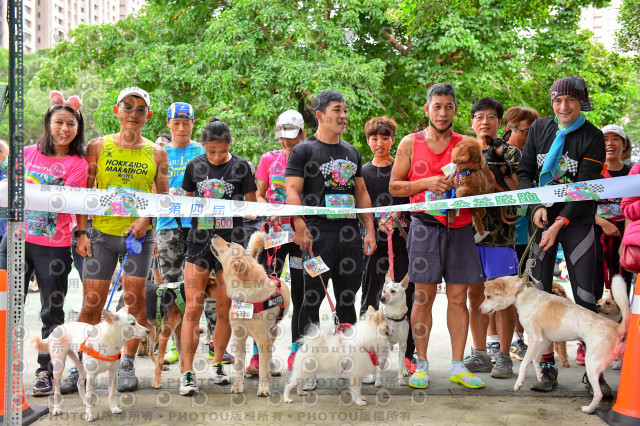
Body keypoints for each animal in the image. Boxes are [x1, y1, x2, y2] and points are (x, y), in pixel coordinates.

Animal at [210, 231, 290, 398]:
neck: (246, 295)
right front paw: (238, 385)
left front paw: (264, 388)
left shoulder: (263, 338)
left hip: (272, 333)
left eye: (229, 245)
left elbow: (263, 369)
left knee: (269, 356)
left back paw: (273, 369)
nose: (214, 234)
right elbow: (239, 365)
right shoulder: (238, 336)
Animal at [480, 274, 632, 414]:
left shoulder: (535, 338)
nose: (478, 309)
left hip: (591, 364)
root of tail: (617, 327)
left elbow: (525, 363)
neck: (521, 291)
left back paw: (589, 409)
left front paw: (518, 383)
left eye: (489, 297)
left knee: (599, 394)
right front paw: (540, 375)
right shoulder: (544, 339)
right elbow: (535, 358)